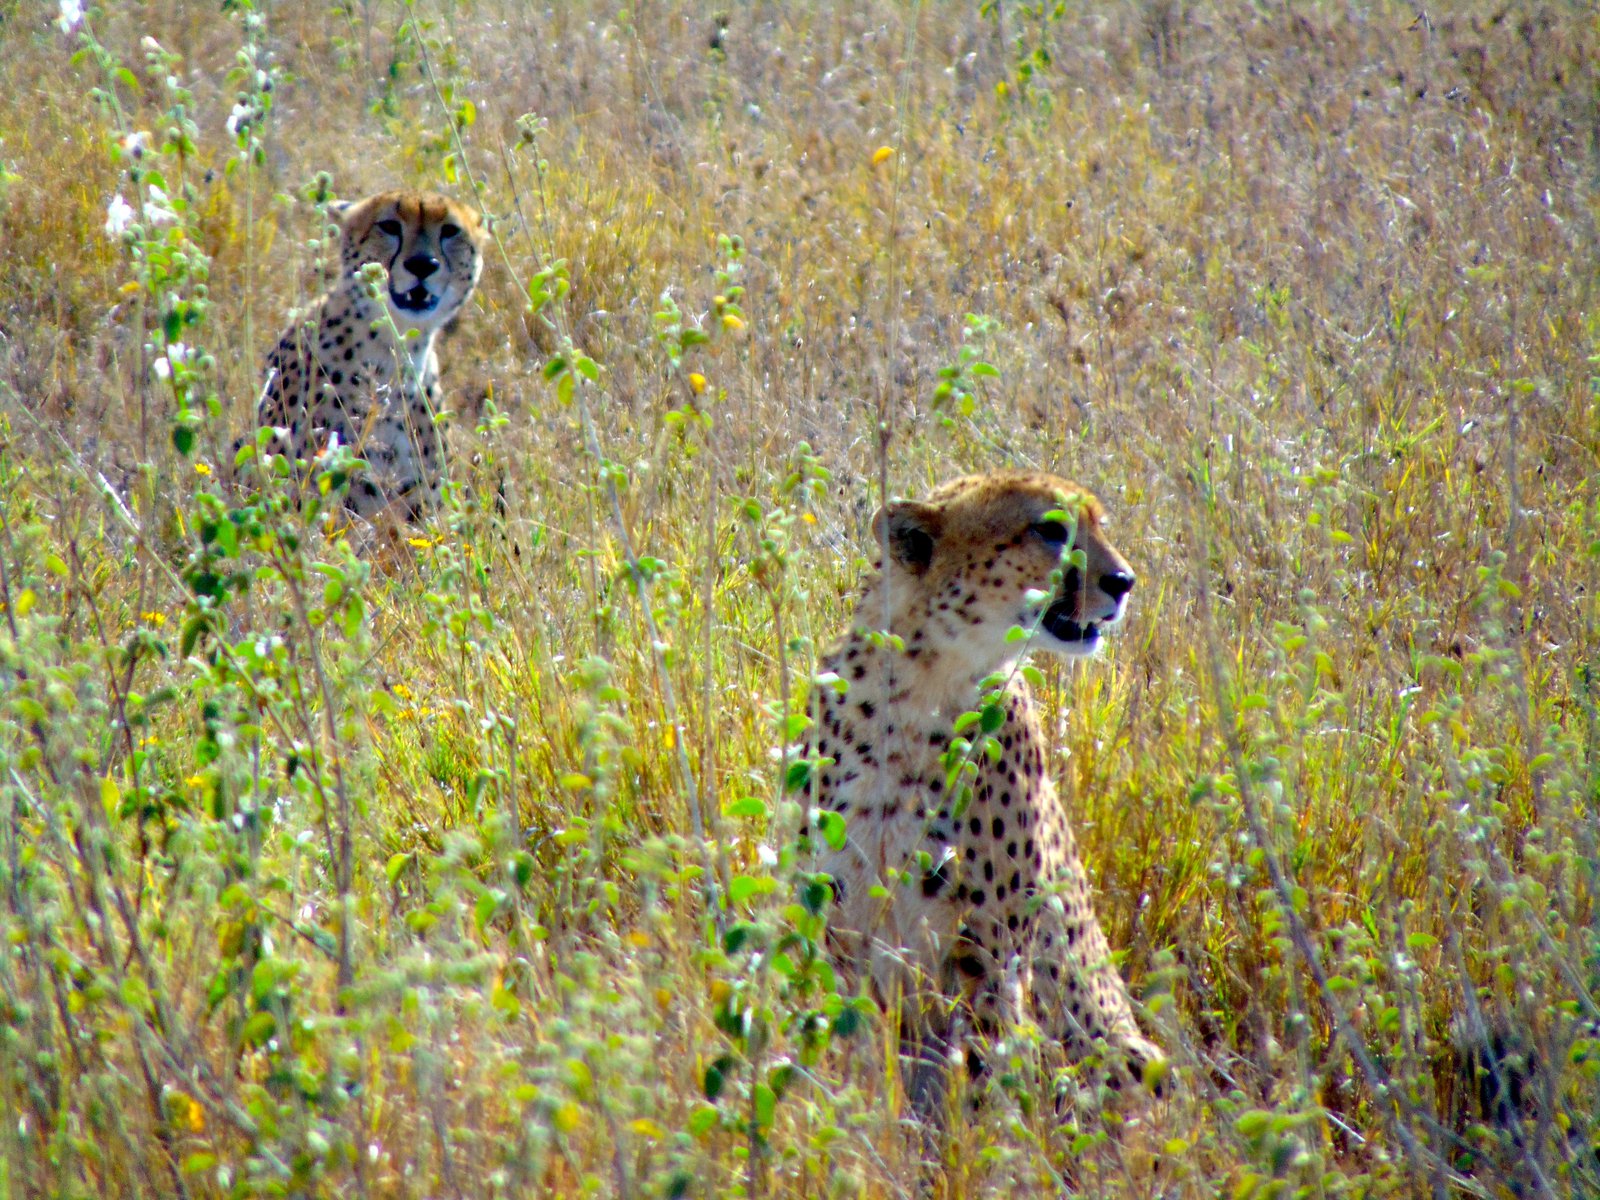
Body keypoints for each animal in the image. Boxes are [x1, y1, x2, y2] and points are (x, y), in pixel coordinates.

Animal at [800, 476, 1164, 1107]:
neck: (920, 688)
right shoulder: (840, 924)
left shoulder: (990, 951)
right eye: (1051, 529)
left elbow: (984, 1074)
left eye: (1099, 524)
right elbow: (854, 1055)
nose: (1124, 581)